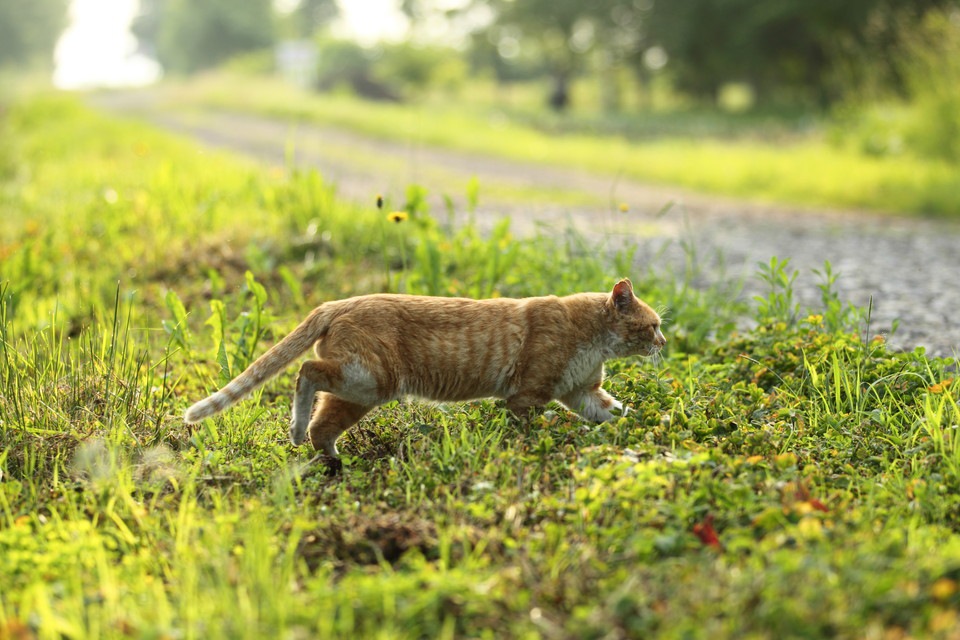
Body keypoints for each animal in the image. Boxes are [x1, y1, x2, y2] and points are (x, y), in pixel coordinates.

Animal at [184, 280, 664, 460]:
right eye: (654, 325)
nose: (663, 344)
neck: (591, 339)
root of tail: (337, 302)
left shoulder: (582, 392)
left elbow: (616, 411)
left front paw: (645, 431)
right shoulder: (527, 395)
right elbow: (525, 429)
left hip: (361, 392)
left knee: (324, 424)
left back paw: (331, 462)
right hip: (369, 379)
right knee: (306, 371)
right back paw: (296, 430)